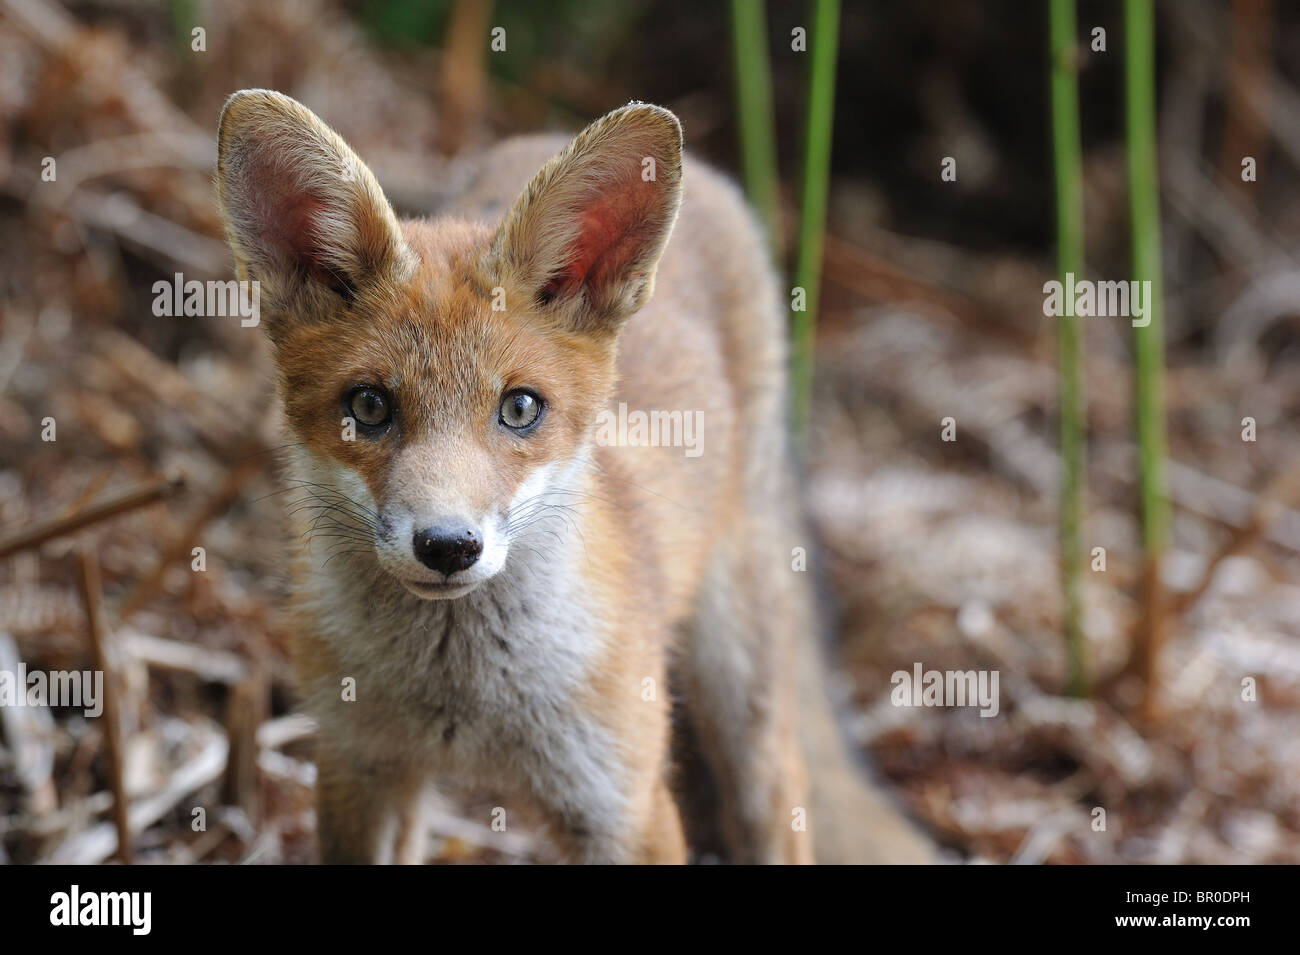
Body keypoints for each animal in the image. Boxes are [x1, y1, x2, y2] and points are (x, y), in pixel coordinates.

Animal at [215, 89, 935, 864]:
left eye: (520, 407)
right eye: (370, 406)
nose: (448, 546)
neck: (460, 696)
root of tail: (721, 182)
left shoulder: (624, 805)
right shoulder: (360, 772)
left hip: (747, 698)